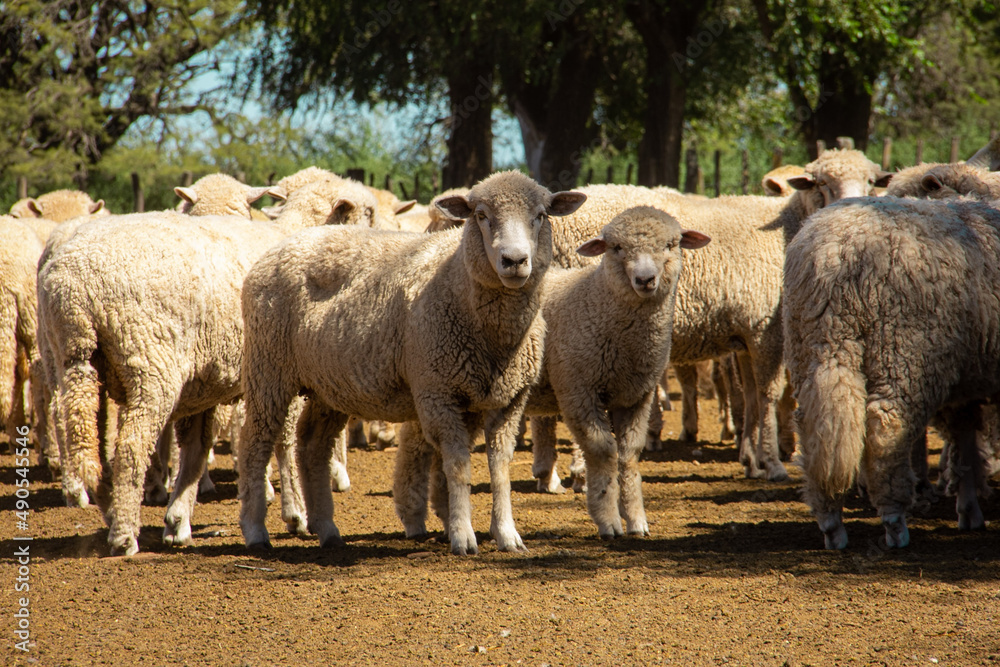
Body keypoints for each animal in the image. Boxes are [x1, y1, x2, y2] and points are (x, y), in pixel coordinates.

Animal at [237, 170, 586, 555]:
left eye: (540, 215)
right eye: (480, 215)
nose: (515, 260)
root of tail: (282, 245)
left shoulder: (509, 399)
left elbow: (499, 467)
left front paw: (507, 534)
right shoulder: (438, 392)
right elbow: (458, 466)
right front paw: (463, 536)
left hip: (330, 386)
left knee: (313, 445)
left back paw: (327, 529)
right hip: (268, 367)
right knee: (255, 441)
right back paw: (256, 530)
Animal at [394, 206, 710, 540]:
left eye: (671, 245)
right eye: (616, 247)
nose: (645, 279)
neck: (599, 301)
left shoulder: (638, 396)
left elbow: (629, 455)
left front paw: (636, 519)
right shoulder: (578, 388)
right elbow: (602, 451)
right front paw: (608, 519)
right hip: (436, 377)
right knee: (414, 446)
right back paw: (413, 517)